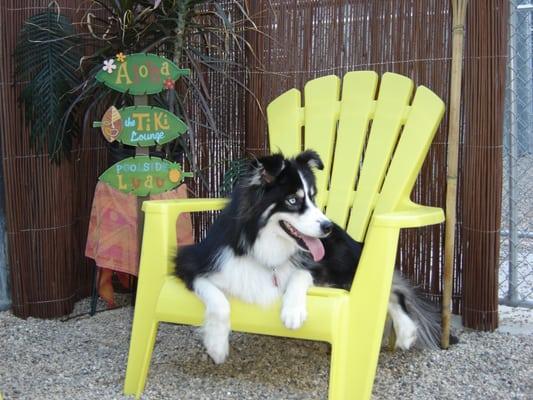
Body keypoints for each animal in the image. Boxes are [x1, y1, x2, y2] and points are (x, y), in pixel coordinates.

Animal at [178, 149, 444, 362]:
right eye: (292, 200)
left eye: (313, 197)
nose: (327, 227)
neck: (262, 245)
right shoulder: (191, 264)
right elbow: (218, 300)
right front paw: (216, 345)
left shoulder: (316, 266)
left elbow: (299, 274)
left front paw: (293, 311)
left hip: (341, 263)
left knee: (393, 289)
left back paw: (407, 330)